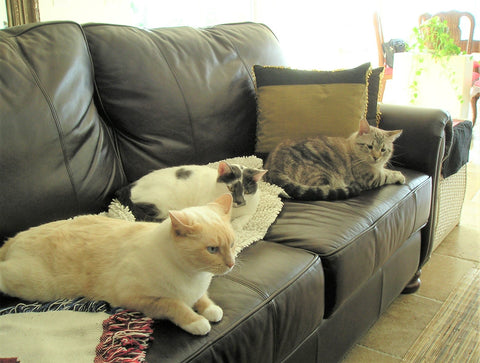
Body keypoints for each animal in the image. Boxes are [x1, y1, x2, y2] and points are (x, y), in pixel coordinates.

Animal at [0, 195, 236, 336]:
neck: (194, 275)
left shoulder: (198, 291)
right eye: (212, 249)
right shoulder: (136, 298)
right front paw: (197, 322)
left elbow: (203, 299)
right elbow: (174, 304)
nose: (232, 264)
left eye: (232, 244)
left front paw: (211, 310)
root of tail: (14, 237)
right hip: (33, 284)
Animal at [116, 162, 266, 230]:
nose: (240, 202)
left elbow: (245, 217)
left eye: (247, 191)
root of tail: (127, 187)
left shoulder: (251, 208)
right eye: (230, 188)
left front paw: (235, 224)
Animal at [264, 118, 406, 200]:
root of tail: (274, 166)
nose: (376, 157)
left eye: (383, 150)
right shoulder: (371, 178)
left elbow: (386, 171)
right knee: (326, 188)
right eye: (369, 146)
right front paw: (399, 176)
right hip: (321, 173)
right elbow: (386, 176)